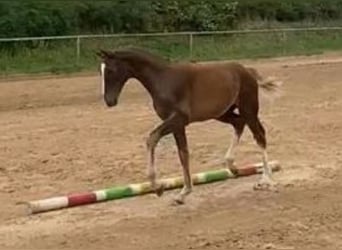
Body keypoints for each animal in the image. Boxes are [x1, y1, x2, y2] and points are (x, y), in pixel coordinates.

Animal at [96, 48, 280, 205]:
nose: (109, 101)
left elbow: (152, 138)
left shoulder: (178, 119)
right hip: (222, 113)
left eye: (111, 71)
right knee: (239, 123)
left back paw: (265, 180)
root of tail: (247, 71)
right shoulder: (178, 125)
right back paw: (232, 167)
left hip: (248, 109)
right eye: (101, 72)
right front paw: (183, 193)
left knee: (259, 135)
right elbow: (183, 154)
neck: (162, 80)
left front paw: (159, 187)